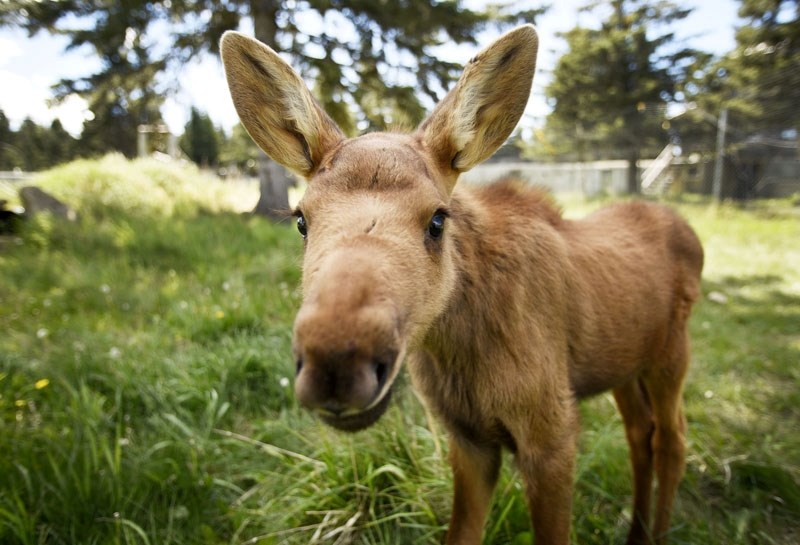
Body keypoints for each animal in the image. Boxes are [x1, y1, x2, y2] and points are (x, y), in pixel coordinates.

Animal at [222, 24, 704, 544]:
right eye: (301, 220)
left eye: (437, 219)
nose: (335, 362)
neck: (458, 352)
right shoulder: (467, 438)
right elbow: (463, 531)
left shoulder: (552, 431)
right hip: (625, 364)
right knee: (641, 433)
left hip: (671, 356)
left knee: (673, 437)